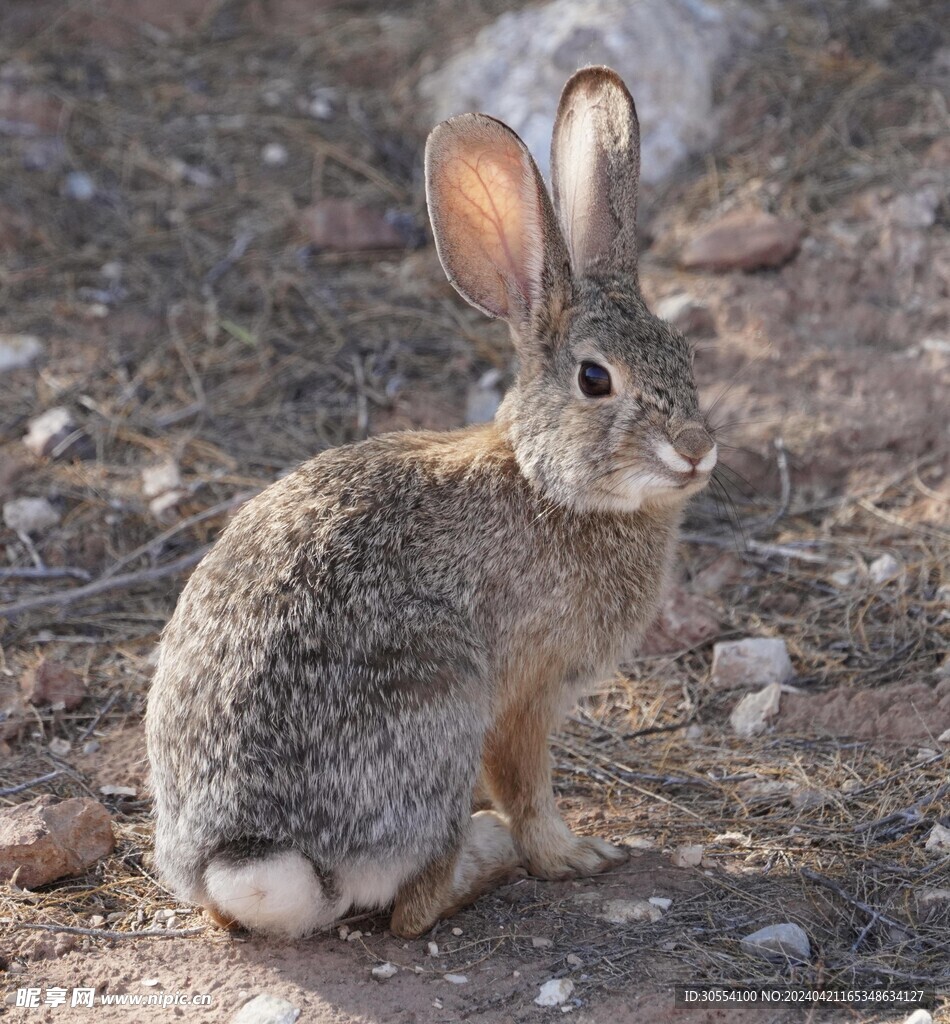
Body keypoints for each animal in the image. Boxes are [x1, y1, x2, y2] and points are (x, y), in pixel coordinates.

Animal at [144, 64, 716, 937]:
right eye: (596, 379)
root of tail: (247, 856)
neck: (547, 484)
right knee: (413, 908)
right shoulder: (523, 694)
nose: (696, 447)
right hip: (438, 694)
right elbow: (527, 787)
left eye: (685, 353)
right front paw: (576, 855)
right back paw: (486, 859)